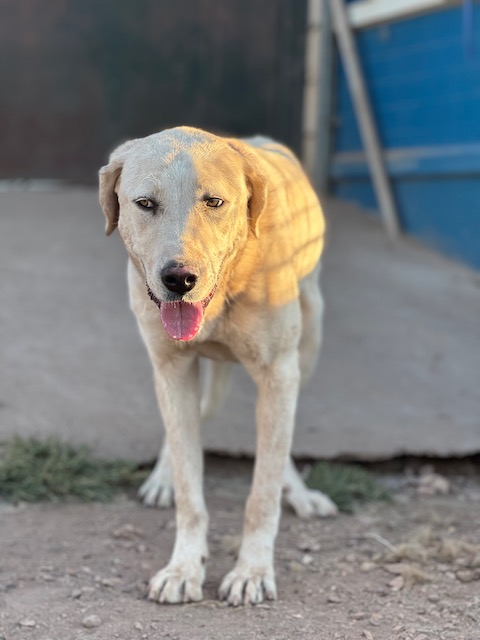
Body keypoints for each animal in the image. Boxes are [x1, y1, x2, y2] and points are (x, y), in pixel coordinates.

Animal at [99, 126, 337, 606]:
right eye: (145, 203)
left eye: (214, 202)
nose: (179, 279)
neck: (229, 284)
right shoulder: (172, 370)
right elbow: (191, 491)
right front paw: (184, 568)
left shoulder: (279, 374)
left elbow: (262, 495)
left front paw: (252, 572)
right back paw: (163, 478)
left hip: (309, 342)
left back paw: (300, 493)